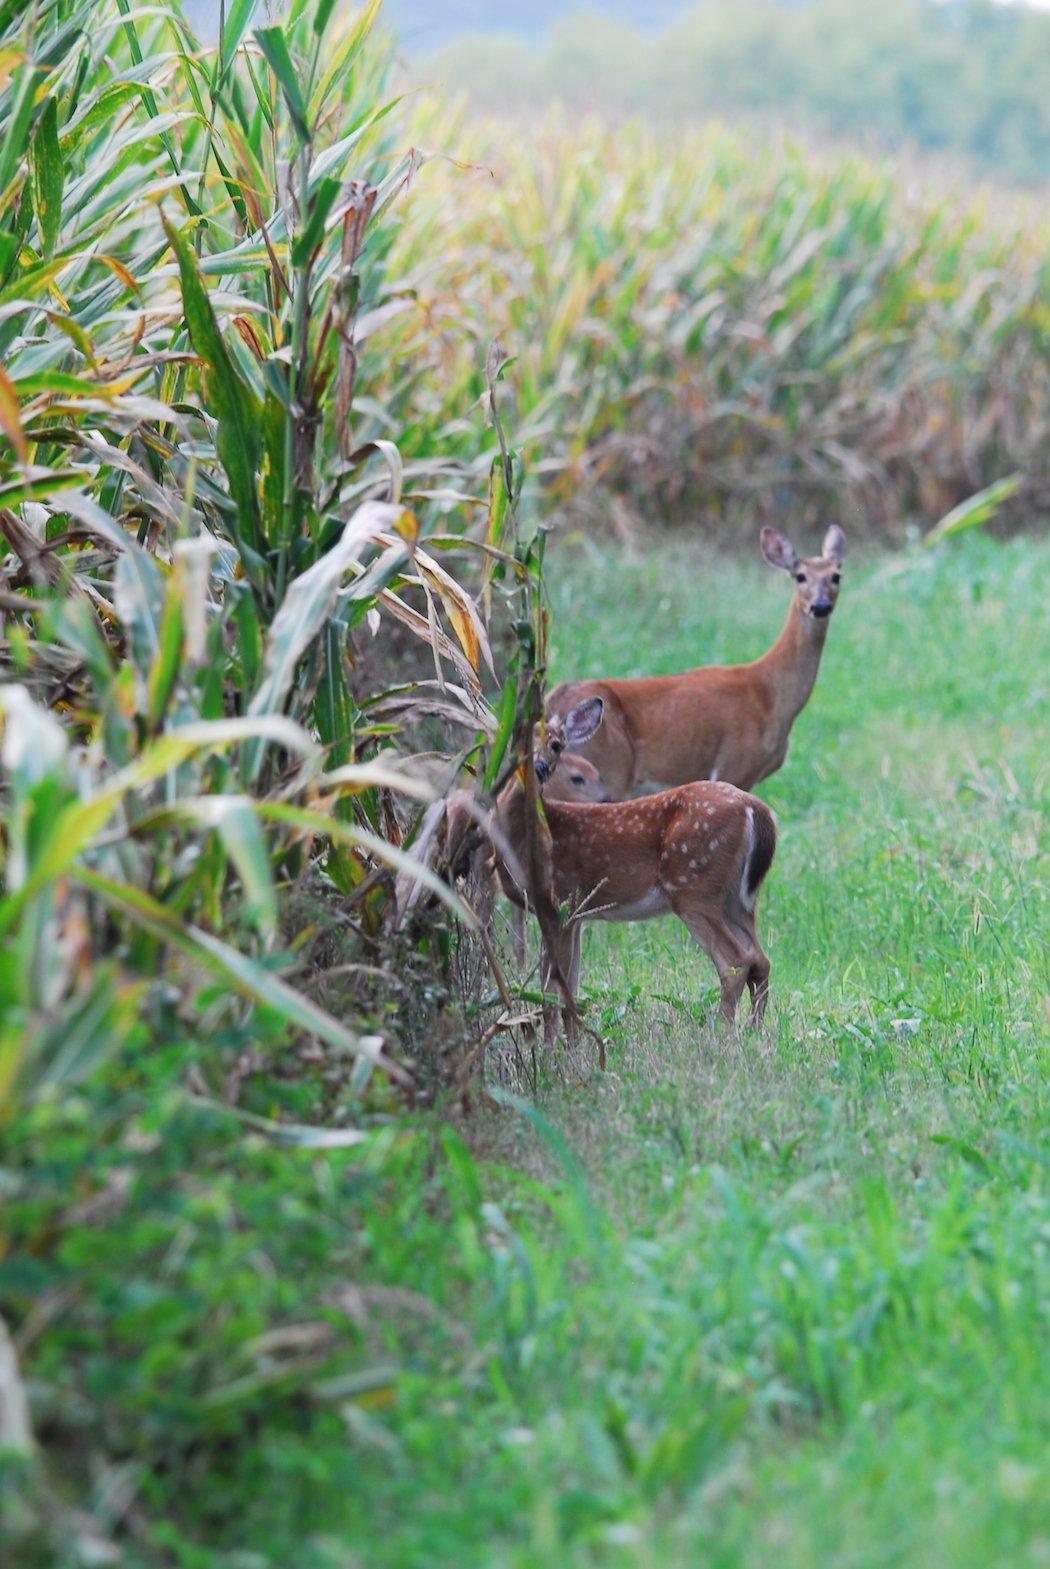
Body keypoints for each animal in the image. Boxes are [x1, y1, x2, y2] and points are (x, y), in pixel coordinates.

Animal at [489, 699, 769, 1029]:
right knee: (760, 960)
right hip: (738, 899)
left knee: (736, 962)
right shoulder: (576, 915)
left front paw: (554, 1042)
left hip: (695, 887)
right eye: (517, 740)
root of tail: (757, 809)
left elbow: (553, 993)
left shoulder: (560, 903)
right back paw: (754, 1030)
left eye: (556, 744)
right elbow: (571, 988)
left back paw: (723, 1031)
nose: (539, 768)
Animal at [549, 527, 841, 797]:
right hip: (609, 769)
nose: (820, 606)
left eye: (836, 576)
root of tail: (553, 704)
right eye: (800, 576)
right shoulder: (736, 764)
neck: (771, 695)